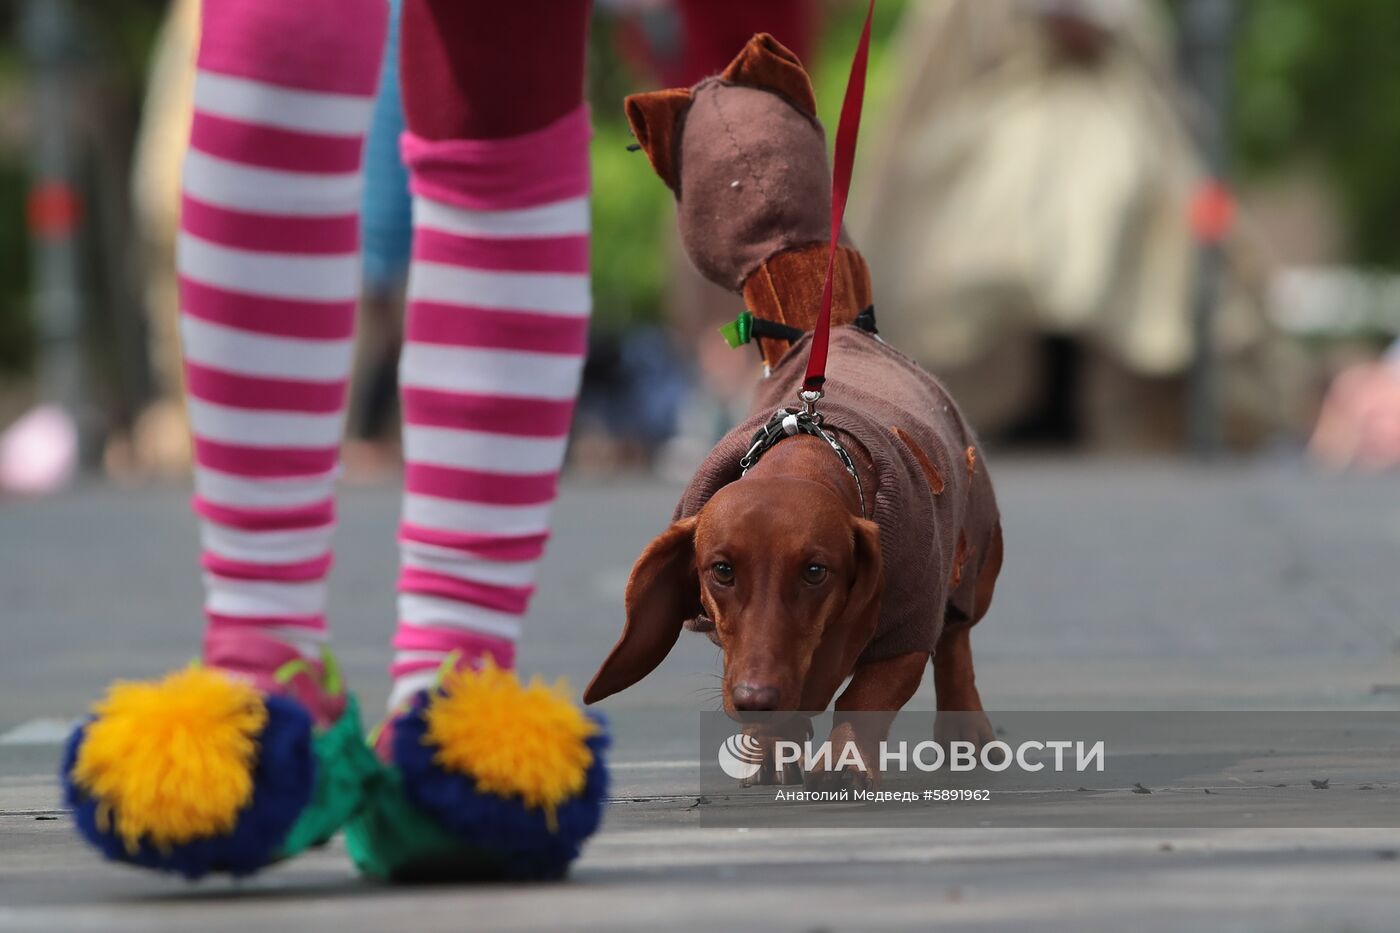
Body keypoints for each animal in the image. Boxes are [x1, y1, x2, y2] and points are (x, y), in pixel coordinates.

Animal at [585, 34, 1002, 784]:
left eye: (816, 571)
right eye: (720, 569)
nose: (755, 699)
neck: (811, 448)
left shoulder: (906, 626)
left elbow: (869, 693)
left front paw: (842, 761)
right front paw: (772, 747)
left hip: (977, 557)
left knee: (957, 643)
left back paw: (967, 733)